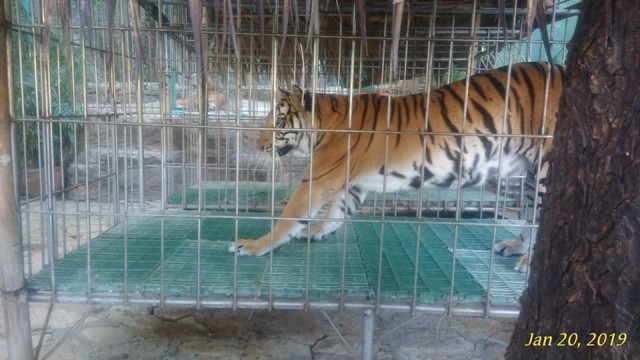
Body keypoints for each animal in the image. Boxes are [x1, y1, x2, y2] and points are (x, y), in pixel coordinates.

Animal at [228, 62, 564, 272]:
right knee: (532, 218)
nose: (258, 144)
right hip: (531, 176)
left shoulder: (320, 178)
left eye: (278, 120)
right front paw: (315, 231)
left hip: (546, 171)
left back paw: (530, 263)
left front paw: (254, 245)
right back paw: (516, 248)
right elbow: (337, 212)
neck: (322, 125)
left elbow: (289, 216)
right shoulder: (353, 183)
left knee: (546, 219)